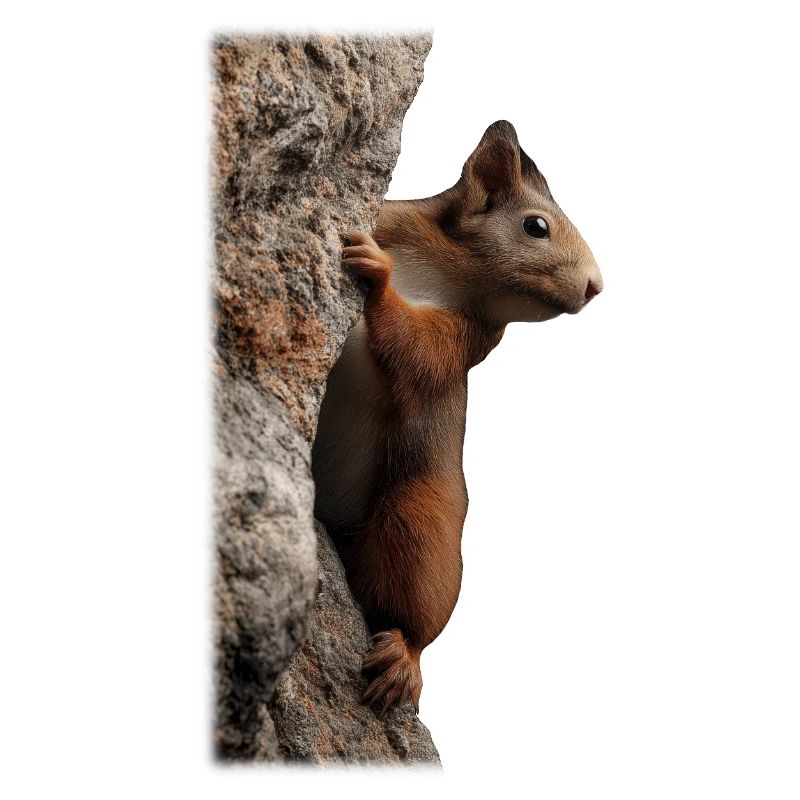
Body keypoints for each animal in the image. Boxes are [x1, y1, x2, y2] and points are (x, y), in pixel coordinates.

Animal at [312, 120, 603, 715]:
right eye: (536, 226)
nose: (596, 285)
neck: (452, 265)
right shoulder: (397, 220)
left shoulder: (469, 338)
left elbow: (418, 353)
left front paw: (379, 276)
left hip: (423, 515)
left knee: (414, 601)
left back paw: (403, 656)